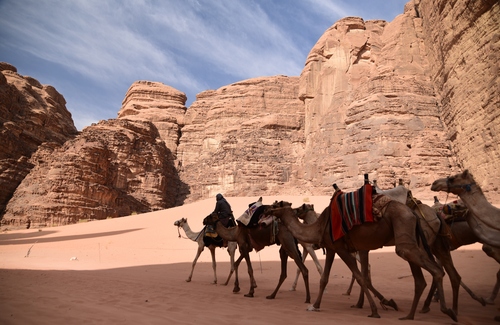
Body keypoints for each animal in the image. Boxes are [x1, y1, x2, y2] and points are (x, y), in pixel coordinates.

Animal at [266, 194, 458, 320]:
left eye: (275, 206)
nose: (265, 212)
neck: (320, 225)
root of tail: (413, 214)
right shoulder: (333, 248)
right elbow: (325, 278)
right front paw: (315, 305)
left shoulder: (342, 249)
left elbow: (360, 277)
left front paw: (374, 310)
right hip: (416, 240)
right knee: (428, 275)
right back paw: (418, 313)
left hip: (405, 236)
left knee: (434, 269)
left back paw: (445, 311)